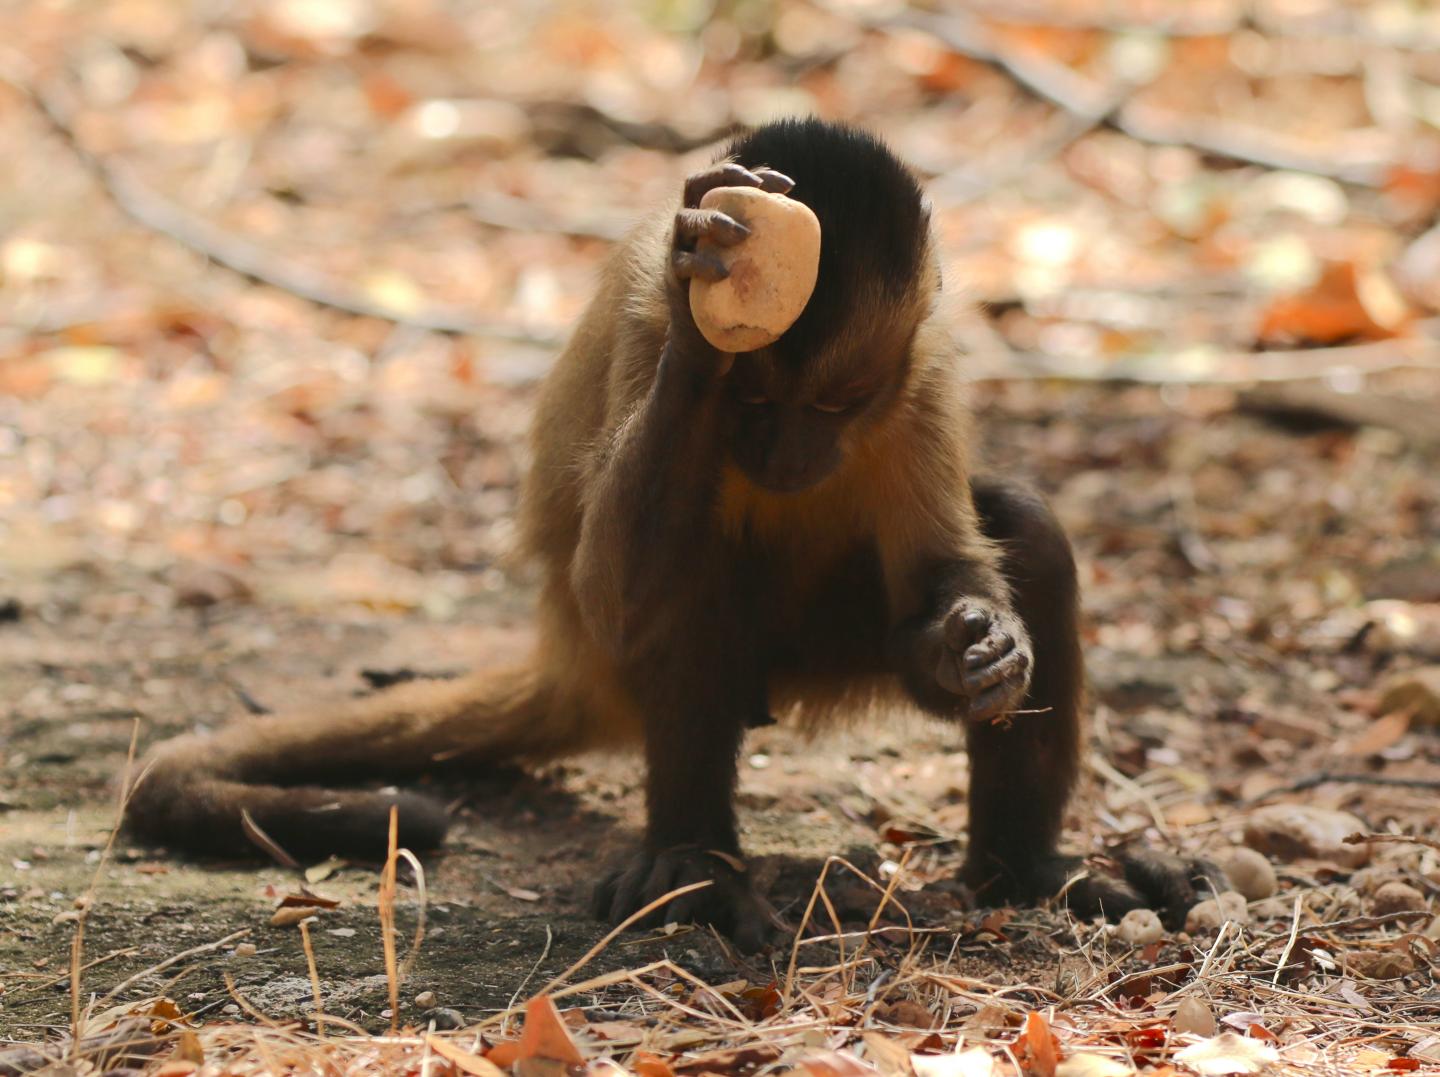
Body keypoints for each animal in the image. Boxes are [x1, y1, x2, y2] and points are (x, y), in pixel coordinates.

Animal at [125, 118, 1222, 949]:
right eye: (752, 401)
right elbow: (621, 582)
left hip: (826, 661)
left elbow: (944, 582)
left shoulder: (923, 373)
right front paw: (706, 323)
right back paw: (697, 869)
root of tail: (563, 663)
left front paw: (974, 644)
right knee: (677, 587)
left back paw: (1021, 875)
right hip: (643, 658)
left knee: (1024, 529)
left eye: (837, 404)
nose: (787, 454)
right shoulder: (646, 322)